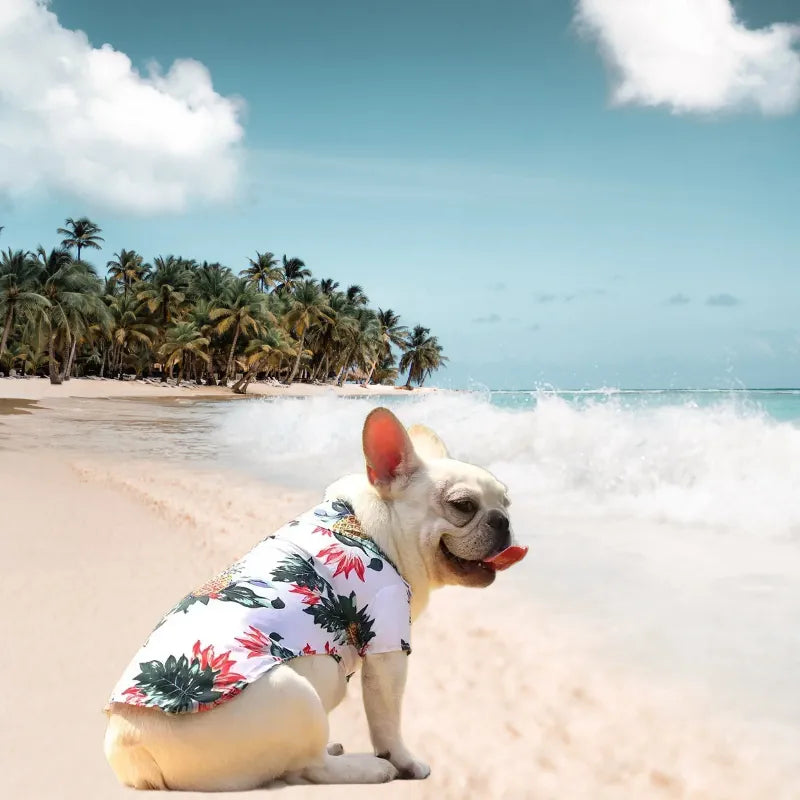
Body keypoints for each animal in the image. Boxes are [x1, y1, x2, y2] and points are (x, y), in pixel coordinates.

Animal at [106, 410, 528, 792]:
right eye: (463, 505)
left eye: (507, 502)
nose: (503, 520)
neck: (374, 526)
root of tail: (131, 750)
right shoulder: (388, 649)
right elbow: (388, 723)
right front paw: (405, 763)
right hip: (296, 696)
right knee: (307, 769)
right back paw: (368, 769)